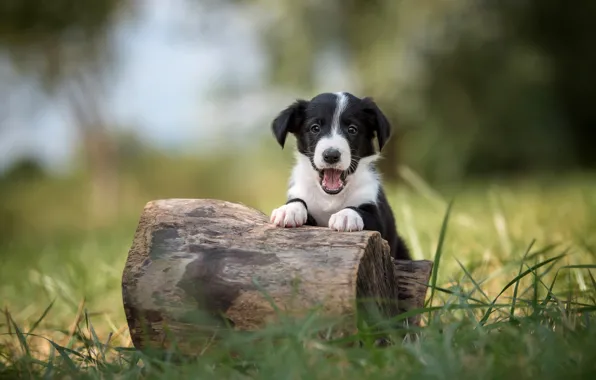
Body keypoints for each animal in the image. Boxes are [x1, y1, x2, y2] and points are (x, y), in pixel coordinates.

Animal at [268, 91, 410, 262]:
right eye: (315, 128)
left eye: (352, 129)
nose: (331, 155)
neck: (330, 197)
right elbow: (298, 201)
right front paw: (289, 210)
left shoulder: (379, 221)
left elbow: (363, 211)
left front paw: (346, 215)